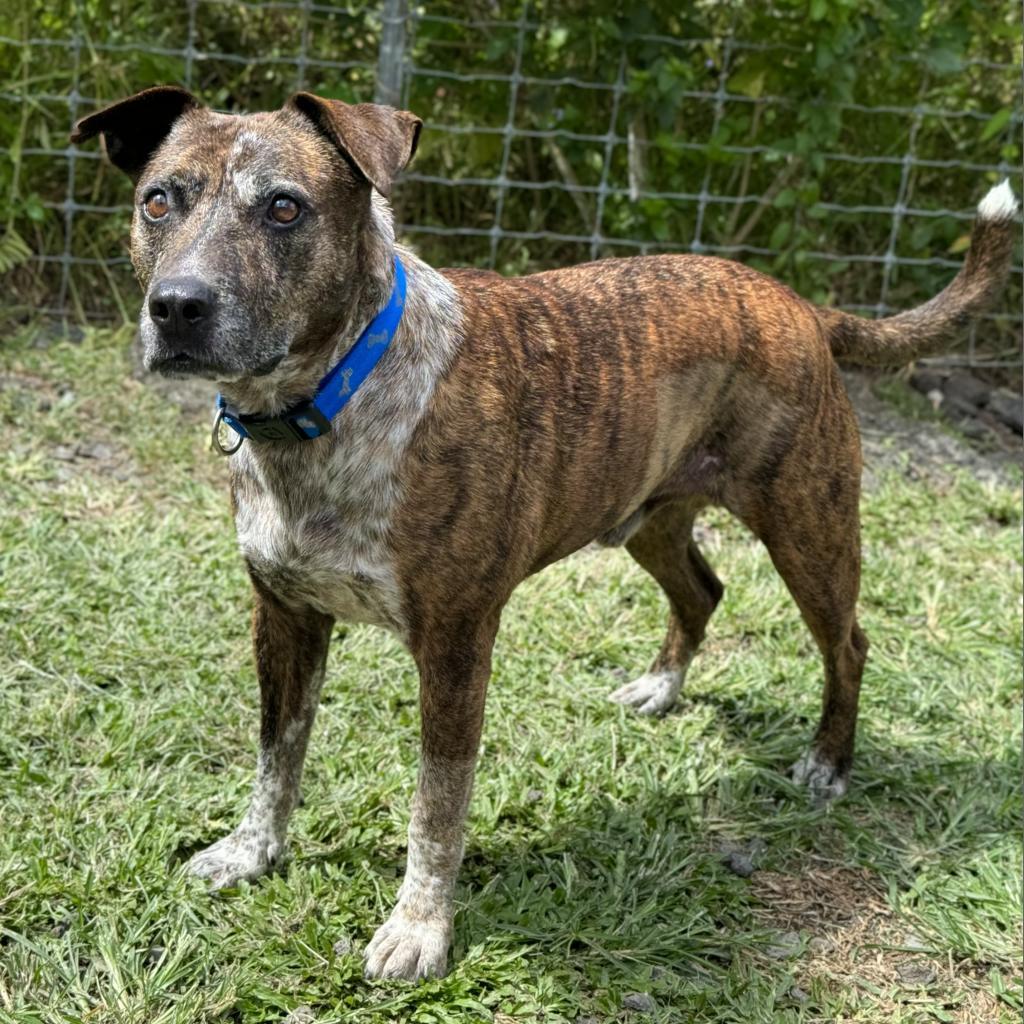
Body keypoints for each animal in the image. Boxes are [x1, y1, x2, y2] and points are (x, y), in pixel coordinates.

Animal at [70, 90, 1015, 983]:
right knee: (703, 590)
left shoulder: (455, 647)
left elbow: (436, 807)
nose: (177, 307)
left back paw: (828, 762)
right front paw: (251, 853)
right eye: (159, 200)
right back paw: (661, 687)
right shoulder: (285, 618)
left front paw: (418, 930)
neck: (329, 400)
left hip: (808, 529)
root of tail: (801, 305)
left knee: (847, 642)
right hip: (649, 518)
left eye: (283, 208)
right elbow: (278, 755)